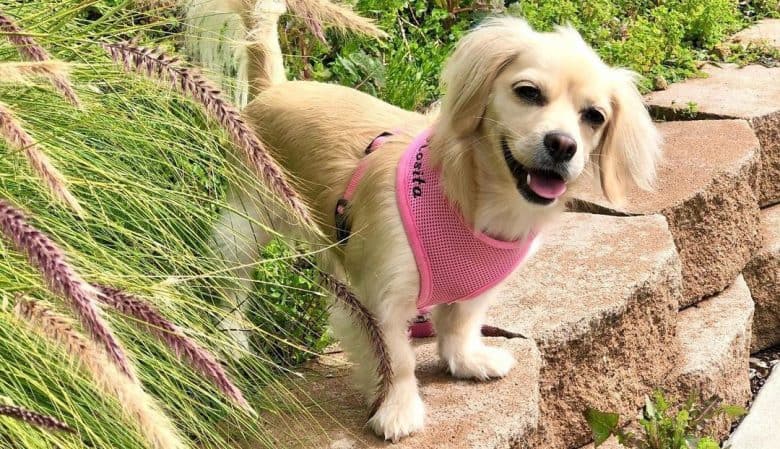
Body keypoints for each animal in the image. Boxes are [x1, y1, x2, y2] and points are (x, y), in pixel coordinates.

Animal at [210, 0, 660, 440]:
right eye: (528, 93)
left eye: (595, 117)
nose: (563, 144)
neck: (475, 206)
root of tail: (273, 87)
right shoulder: (380, 298)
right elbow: (396, 359)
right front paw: (397, 409)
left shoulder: (475, 284)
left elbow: (461, 323)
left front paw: (466, 361)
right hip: (243, 226)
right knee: (234, 283)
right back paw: (233, 338)